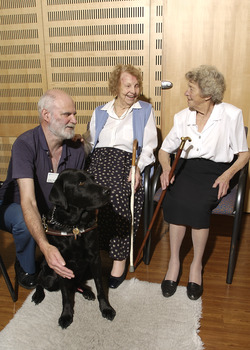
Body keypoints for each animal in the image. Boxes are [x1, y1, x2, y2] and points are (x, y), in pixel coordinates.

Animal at [31, 169, 116, 328]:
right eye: (81, 182)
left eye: (93, 179)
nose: (108, 191)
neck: (74, 227)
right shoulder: (61, 265)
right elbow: (65, 295)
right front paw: (66, 315)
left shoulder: (95, 259)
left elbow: (100, 287)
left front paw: (106, 308)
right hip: (50, 275)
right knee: (40, 280)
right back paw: (38, 294)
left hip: (86, 269)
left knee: (75, 283)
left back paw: (87, 291)